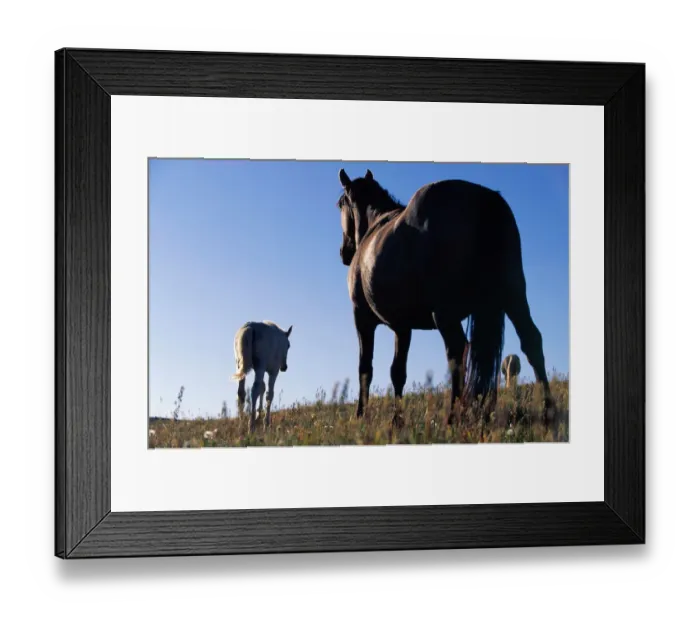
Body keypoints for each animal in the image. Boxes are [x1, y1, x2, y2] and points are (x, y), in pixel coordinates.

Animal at [335, 168, 555, 427]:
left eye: (340, 204)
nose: (344, 252)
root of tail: (484, 198)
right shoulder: (402, 327)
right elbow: (398, 372)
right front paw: (397, 420)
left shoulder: (362, 319)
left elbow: (365, 368)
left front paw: (361, 415)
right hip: (514, 296)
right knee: (532, 341)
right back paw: (548, 412)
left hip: (445, 314)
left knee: (457, 352)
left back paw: (452, 417)